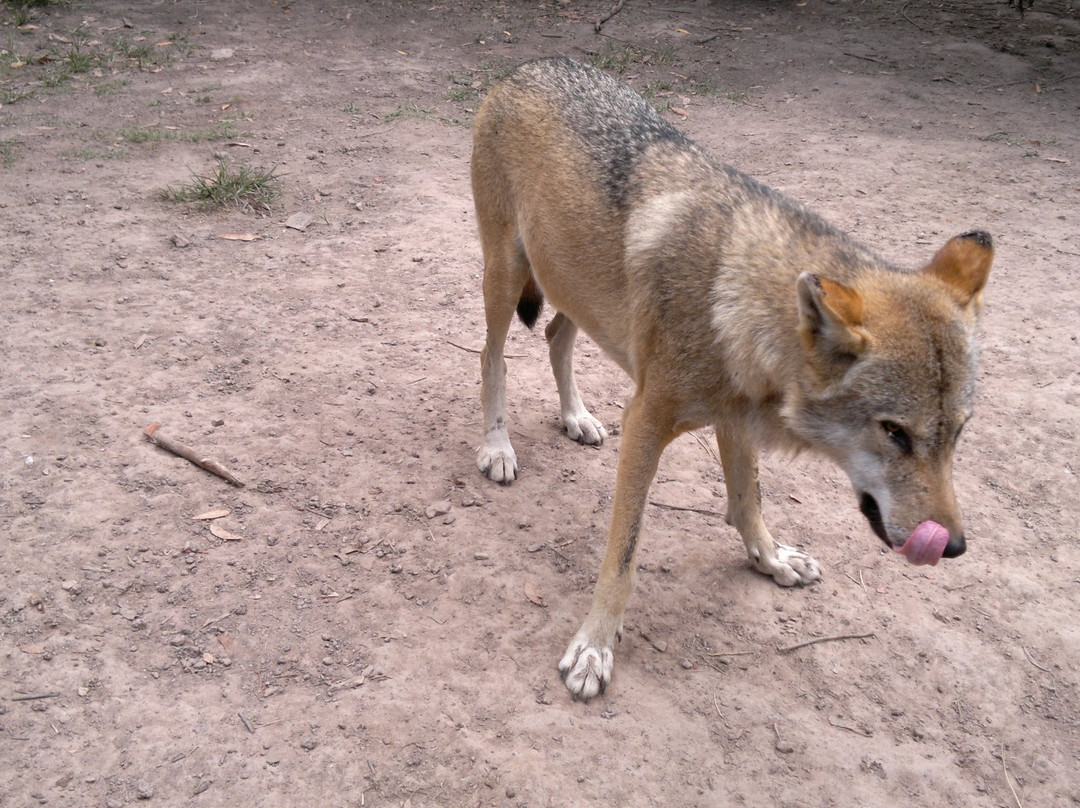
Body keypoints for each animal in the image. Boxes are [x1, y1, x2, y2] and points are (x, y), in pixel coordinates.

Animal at [470, 57, 992, 700]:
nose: (955, 547)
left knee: (553, 337)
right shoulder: (645, 421)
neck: (736, 298)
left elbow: (748, 502)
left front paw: (771, 560)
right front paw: (594, 646)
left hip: (575, 290)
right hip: (506, 276)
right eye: (895, 432)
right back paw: (497, 446)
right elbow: (623, 557)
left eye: (957, 434)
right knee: (492, 357)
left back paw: (576, 417)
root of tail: (528, 67)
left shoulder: (736, 419)